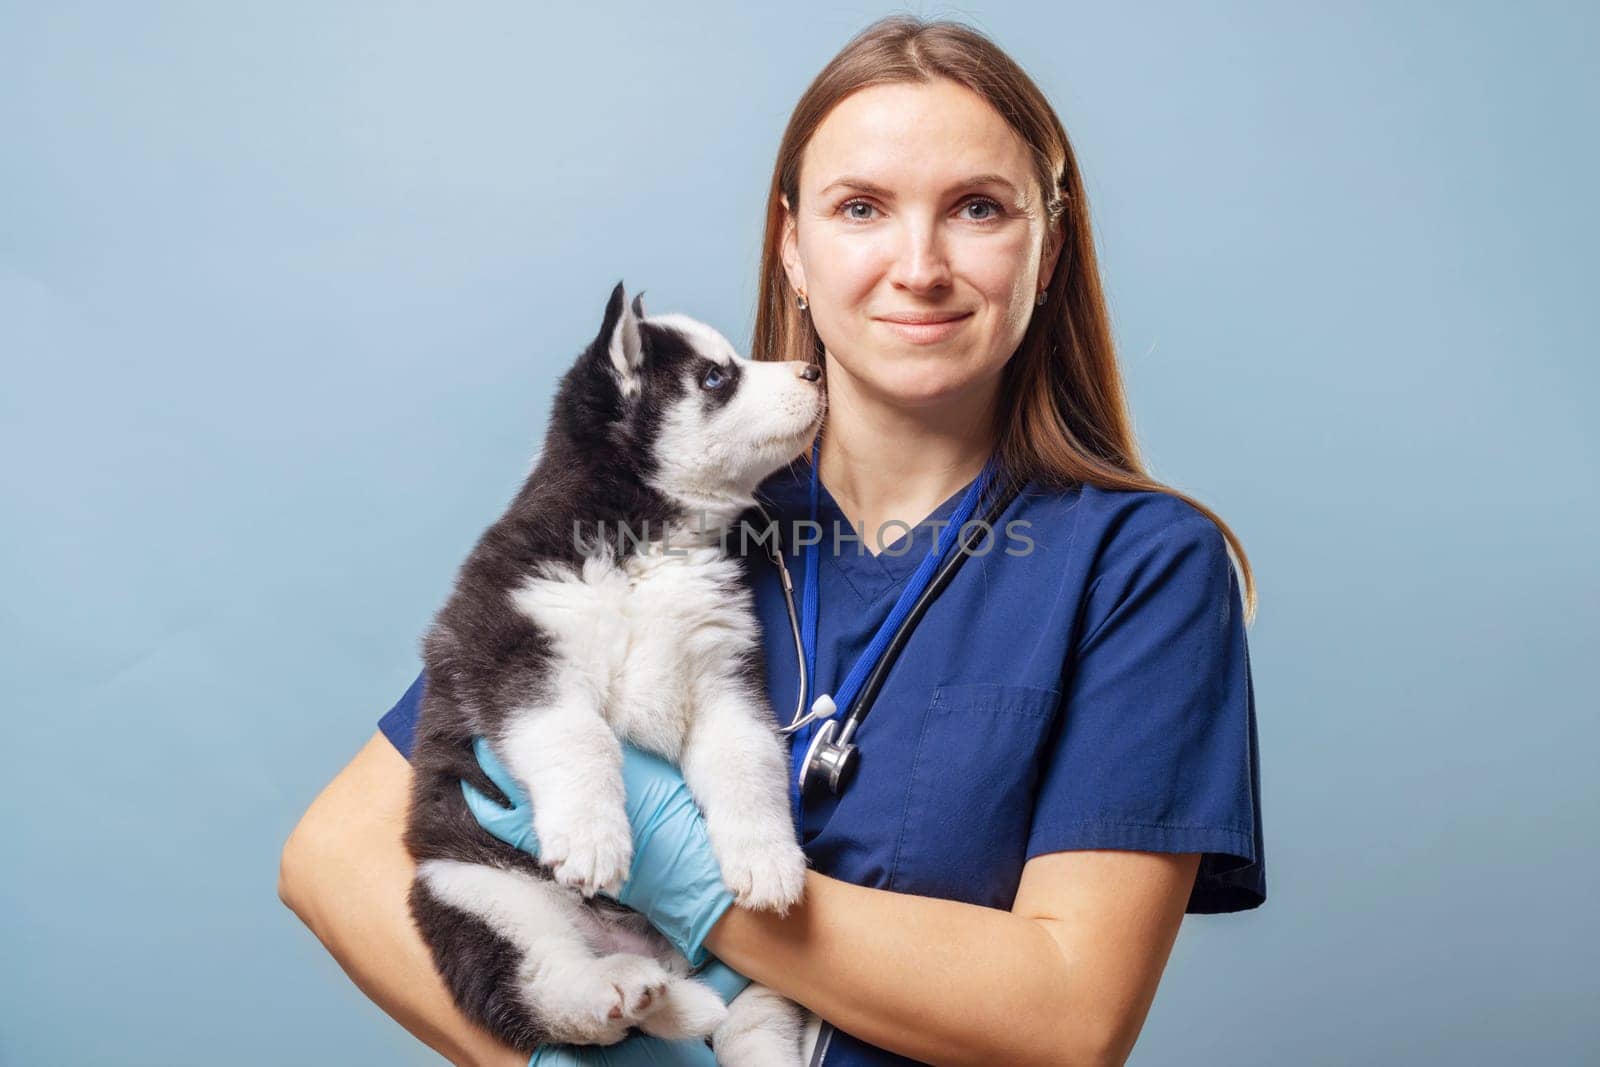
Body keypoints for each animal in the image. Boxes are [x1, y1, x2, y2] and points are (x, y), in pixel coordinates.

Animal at [400, 279, 825, 1062]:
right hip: (470, 889)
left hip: (759, 981)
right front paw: (594, 837)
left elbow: (747, 759)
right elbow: (580, 736)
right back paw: (614, 989)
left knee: (752, 1021)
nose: (814, 372)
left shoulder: (724, 675)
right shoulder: (514, 650)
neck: (646, 542)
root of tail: (655, 955)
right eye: (715, 377)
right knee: (543, 987)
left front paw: (768, 857)